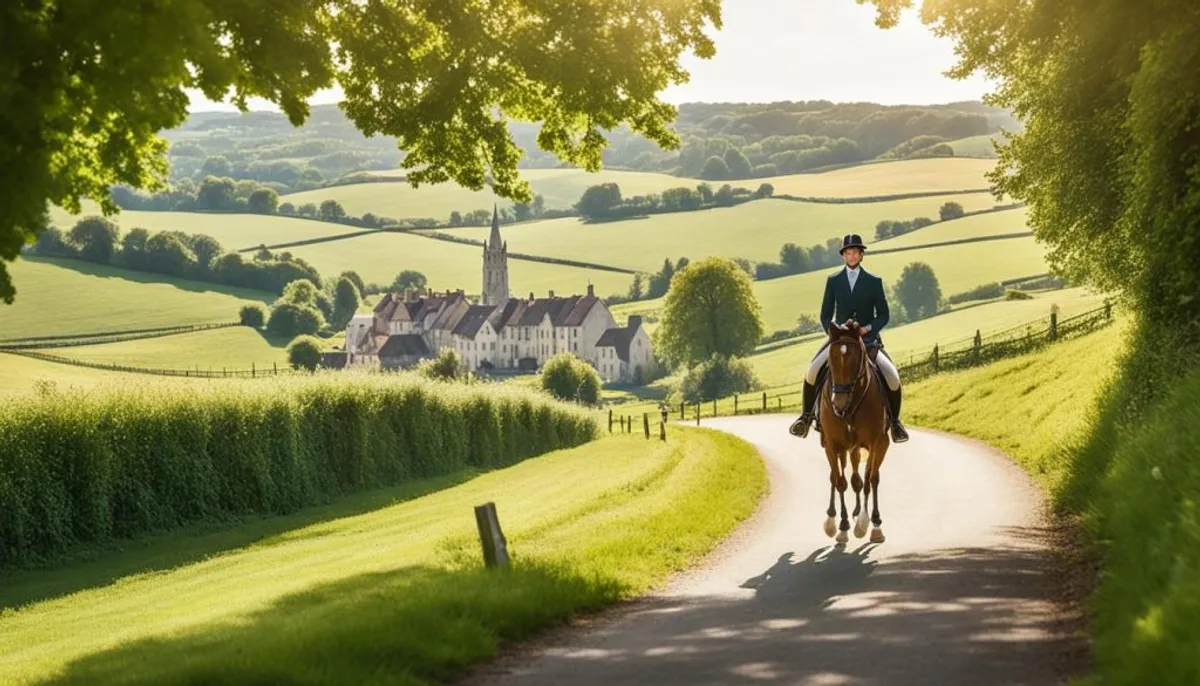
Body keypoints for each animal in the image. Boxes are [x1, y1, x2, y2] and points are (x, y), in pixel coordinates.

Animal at [816, 319, 892, 544]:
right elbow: (840, 482)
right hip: (839, 446)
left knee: (862, 478)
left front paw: (870, 525)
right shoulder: (832, 445)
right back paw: (832, 518)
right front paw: (841, 526)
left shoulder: (877, 442)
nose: (838, 403)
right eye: (830, 360)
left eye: (856, 359)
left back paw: (861, 515)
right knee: (837, 477)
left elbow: (870, 480)